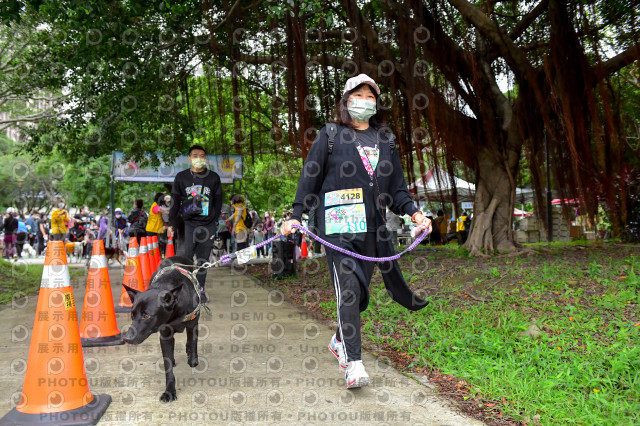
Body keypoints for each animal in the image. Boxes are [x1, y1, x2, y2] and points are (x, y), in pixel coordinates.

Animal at [122, 256, 202, 402]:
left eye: (146, 315)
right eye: (132, 315)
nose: (126, 338)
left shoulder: (193, 324)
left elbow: (193, 340)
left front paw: (193, 359)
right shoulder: (165, 335)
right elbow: (168, 364)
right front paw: (169, 391)